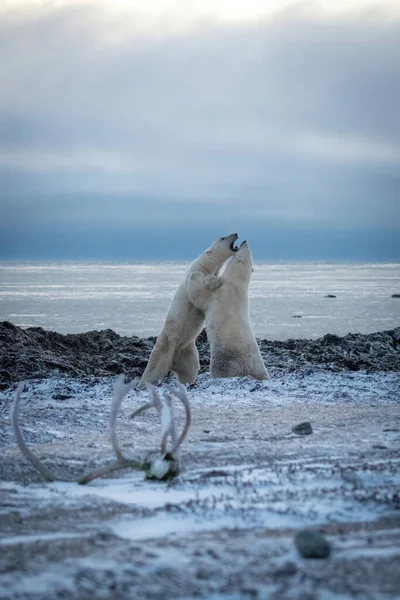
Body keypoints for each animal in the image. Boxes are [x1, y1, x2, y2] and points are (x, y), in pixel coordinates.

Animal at [138, 232, 238, 386]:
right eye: (223, 238)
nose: (235, 233)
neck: (204, 264)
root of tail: (173, 361)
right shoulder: (193, 273)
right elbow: (196, 282)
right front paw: (215, 281)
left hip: (187, 351)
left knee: (190, 369)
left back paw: (188, 381)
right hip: (166, 345)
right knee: (153, 369)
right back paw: (142, 383)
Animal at [188, 240, 268, 378]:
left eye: (248, 249)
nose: (244, 241)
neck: (236, 282)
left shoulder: (220, 293)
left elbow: (199, 295)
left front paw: (200, 275)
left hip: (228, 360)